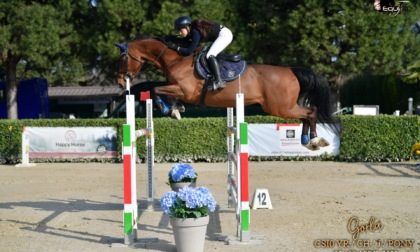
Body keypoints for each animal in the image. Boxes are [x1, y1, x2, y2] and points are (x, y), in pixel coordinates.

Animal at [115, 37, 338, 151]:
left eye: (123, 59)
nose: (119, 82)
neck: (176, 59)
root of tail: (291, 70)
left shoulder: (186, 91)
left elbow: (155, 90)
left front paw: (169, 110)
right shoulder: (179, 89)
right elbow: (161, 91)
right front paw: (176, 109)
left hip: (280, 107)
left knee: (310, 111)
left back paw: (314, 140)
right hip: (283, 107)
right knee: (307, 113)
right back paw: (306, 140)